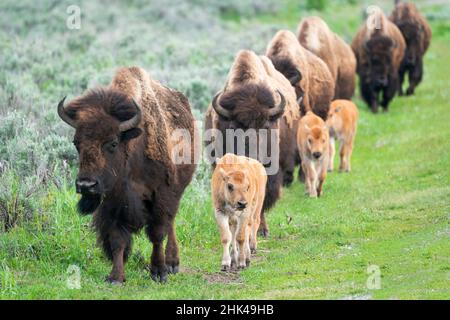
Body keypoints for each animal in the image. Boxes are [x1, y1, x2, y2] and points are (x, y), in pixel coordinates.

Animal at [56, 66, 197, 284]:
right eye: (76, 142)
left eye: (113, 143)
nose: (86, 185)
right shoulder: (113, 202)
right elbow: (117, 240)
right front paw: (116, 276)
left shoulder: (162, 195)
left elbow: (157, 234)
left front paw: (159, 272)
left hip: (177, 189)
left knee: (170, 223)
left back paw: (172, 263)